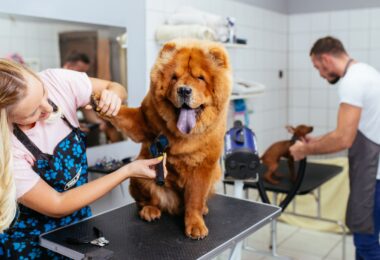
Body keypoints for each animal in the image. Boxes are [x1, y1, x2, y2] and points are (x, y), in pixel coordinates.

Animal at [98, 39, 232, 240]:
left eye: (200, 78)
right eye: (174, 77)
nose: (184, 90)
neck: (183, 134)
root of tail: (176, 206)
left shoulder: (203, 167)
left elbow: (195, 198)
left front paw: (195, 225)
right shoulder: (143, 120)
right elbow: (124, 113)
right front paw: (101, 100)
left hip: (214, 174)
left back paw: (203, 210)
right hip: (140, 177)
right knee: (146, 200)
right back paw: (150, 211)